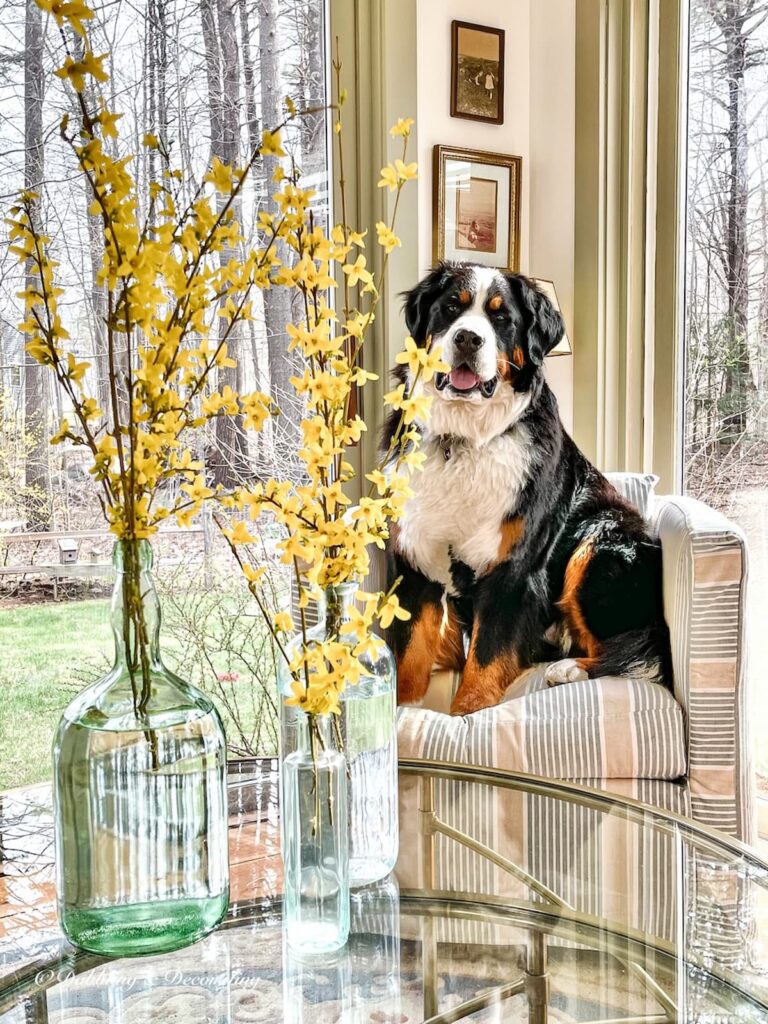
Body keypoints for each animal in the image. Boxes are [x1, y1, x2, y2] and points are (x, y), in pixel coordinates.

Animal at [382, 260, 671, 716]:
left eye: (502, 318)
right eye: (451, 307)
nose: (468, 338)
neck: (464, 440)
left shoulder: (513, 568)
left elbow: (486, 658)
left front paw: (468, 715)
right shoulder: (414, 559)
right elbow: (409, 654)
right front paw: (401, 714)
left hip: (599, 541)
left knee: (635, 652)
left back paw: (570, 670)